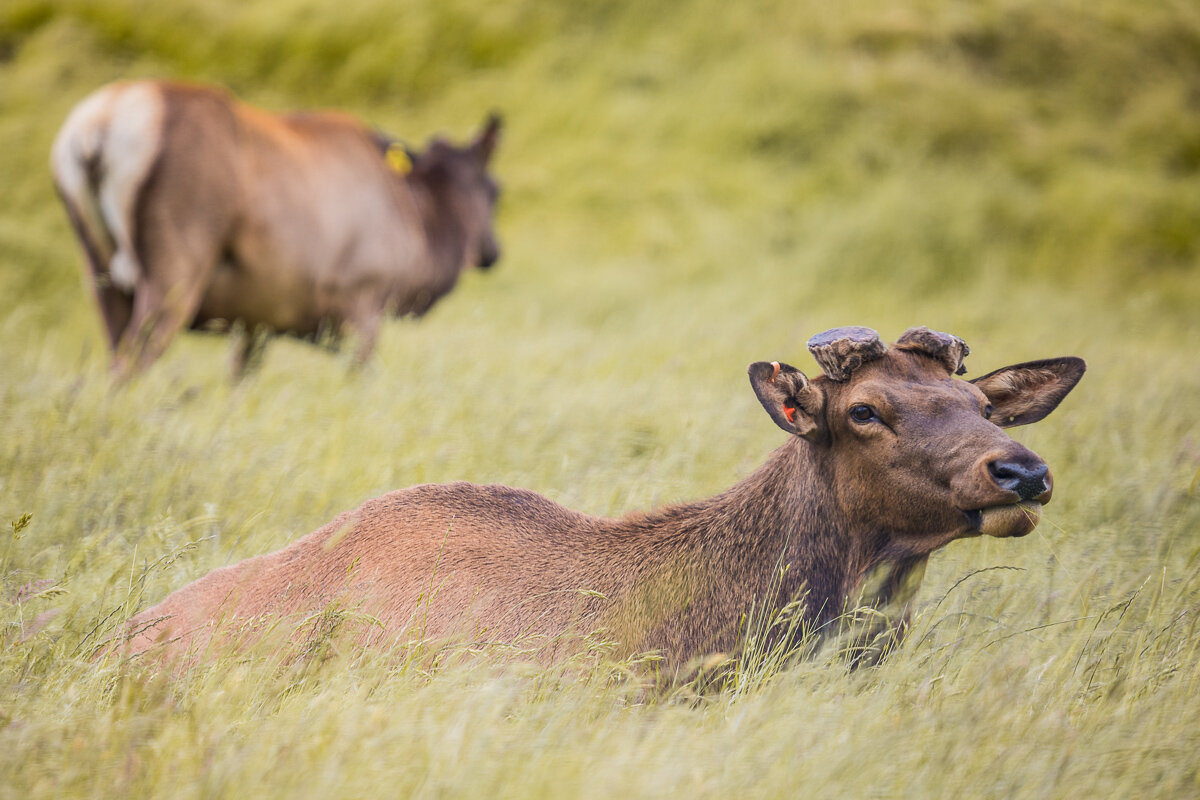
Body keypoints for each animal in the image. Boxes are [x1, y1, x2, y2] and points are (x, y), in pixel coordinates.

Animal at [50, 79, 501, 381]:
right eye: (496, 190)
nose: (494, 251)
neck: (421, 233)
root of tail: (98, 126)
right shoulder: (363, 299)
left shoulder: (256, 321)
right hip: (174, 268)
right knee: (131, 364)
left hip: (99, 272)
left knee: (113, 355)